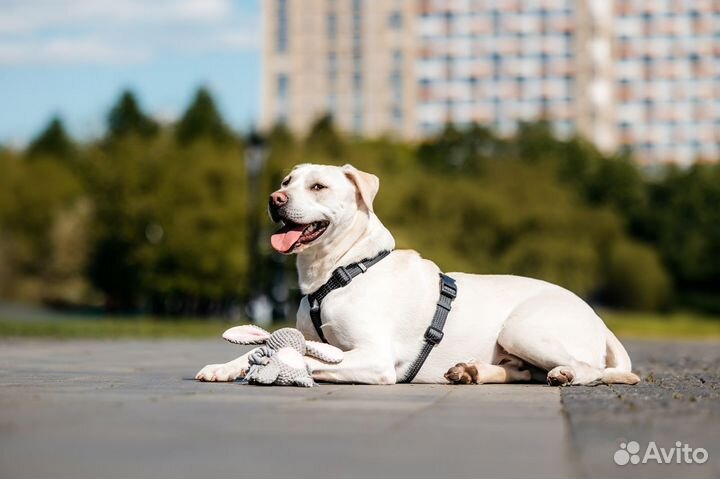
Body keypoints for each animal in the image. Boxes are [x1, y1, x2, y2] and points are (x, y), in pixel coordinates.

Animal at [194, 164, 640, 386]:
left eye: (318, 187)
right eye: (286, 181)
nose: (275, 198)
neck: (340, 271)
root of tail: (597, 318)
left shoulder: (374, 358)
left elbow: (298, 357)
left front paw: (273, 368)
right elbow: (264, 347)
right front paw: (225, 367)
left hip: (524, 328)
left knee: (595, 371)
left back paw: (564, 374)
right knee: (522, 371)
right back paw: (471, 371)